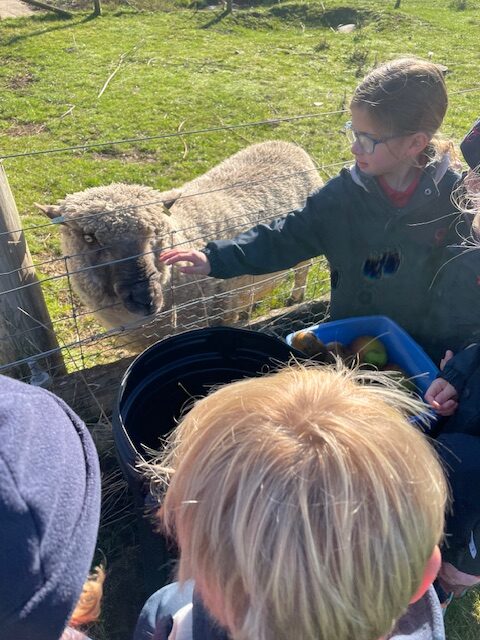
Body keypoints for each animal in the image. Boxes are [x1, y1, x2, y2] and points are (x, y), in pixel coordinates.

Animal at [37, 141, 322, 350]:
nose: (146, 298)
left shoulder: (220, 311)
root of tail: (286, 144)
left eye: (156, 231)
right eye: (89, 238)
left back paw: (295, 297)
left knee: (303, 271)